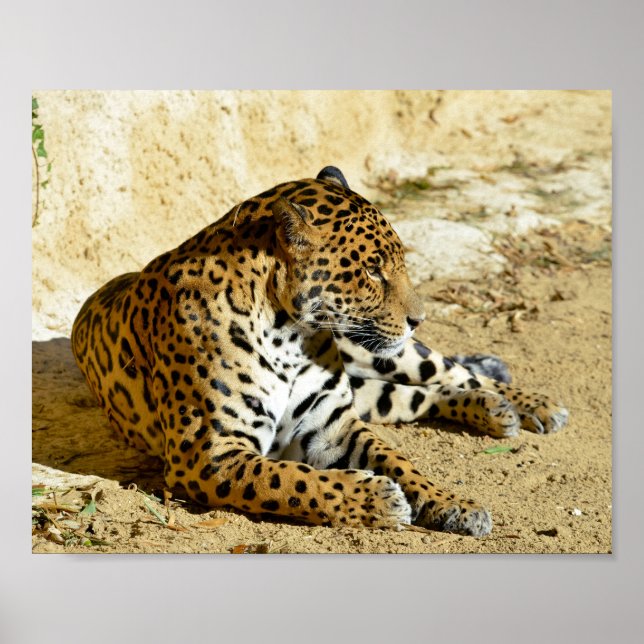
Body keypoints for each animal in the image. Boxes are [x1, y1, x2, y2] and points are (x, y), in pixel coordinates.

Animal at [71, 166, 568, 537]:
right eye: (372, 270)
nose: (419, 318)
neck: (288, 336)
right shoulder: (209, 453)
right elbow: (292, 480)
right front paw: (377, 499)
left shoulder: (334, 424)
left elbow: (399, 461)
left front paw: (453, 502)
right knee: (416, 396)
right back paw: (494, 408)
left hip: (387, 352)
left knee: (449, 373)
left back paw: (531, 405)